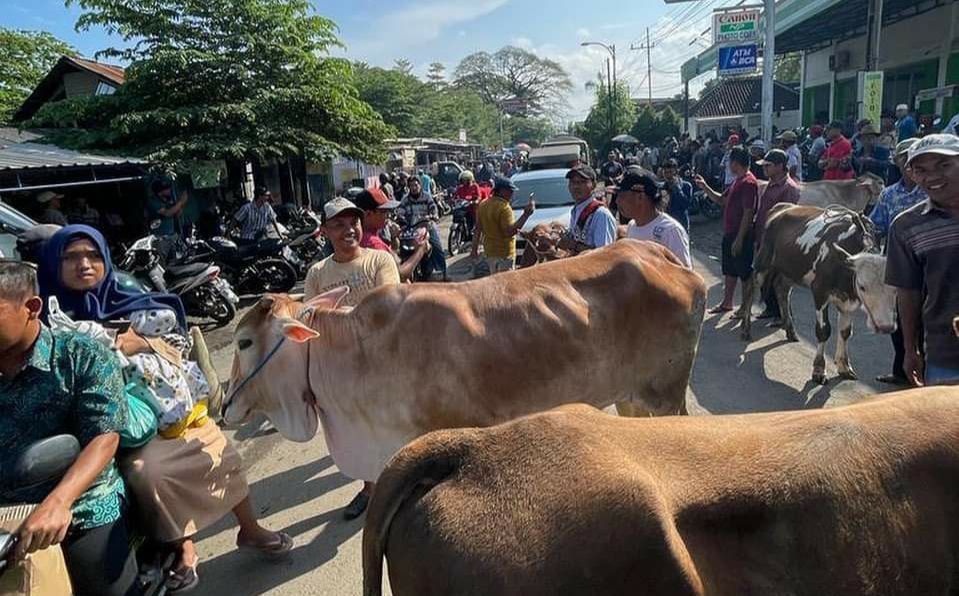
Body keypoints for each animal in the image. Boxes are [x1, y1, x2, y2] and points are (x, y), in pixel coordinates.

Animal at [744, 203, 900, 384]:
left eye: (894, 288)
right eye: (862, 286)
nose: (886, 326)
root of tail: (783, 206)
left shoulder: (848, 300)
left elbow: (845, 332)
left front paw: (844, 367)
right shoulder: (820, 292)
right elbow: (823, 330)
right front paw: (819, 369)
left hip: (791, 270)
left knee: (782, 290)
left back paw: (791, 331)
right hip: (763, 262)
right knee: (751, 286)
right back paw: (745, 329)